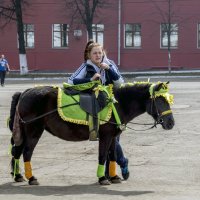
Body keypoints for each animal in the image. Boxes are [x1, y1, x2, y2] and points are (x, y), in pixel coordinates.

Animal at [9, 82, 175, 185]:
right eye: (160, 100)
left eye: (168, 100)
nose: (171, 123)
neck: (116, 103)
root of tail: (25, 92)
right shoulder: (106, 136)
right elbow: (102, 156)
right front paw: (102, 178)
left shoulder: (113, 137)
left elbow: (112, 156)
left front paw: (113, 176)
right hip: (33, 131)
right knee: (27, 153)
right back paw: (31, 178)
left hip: (25, 133)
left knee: (17, 152)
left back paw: (18, 176)